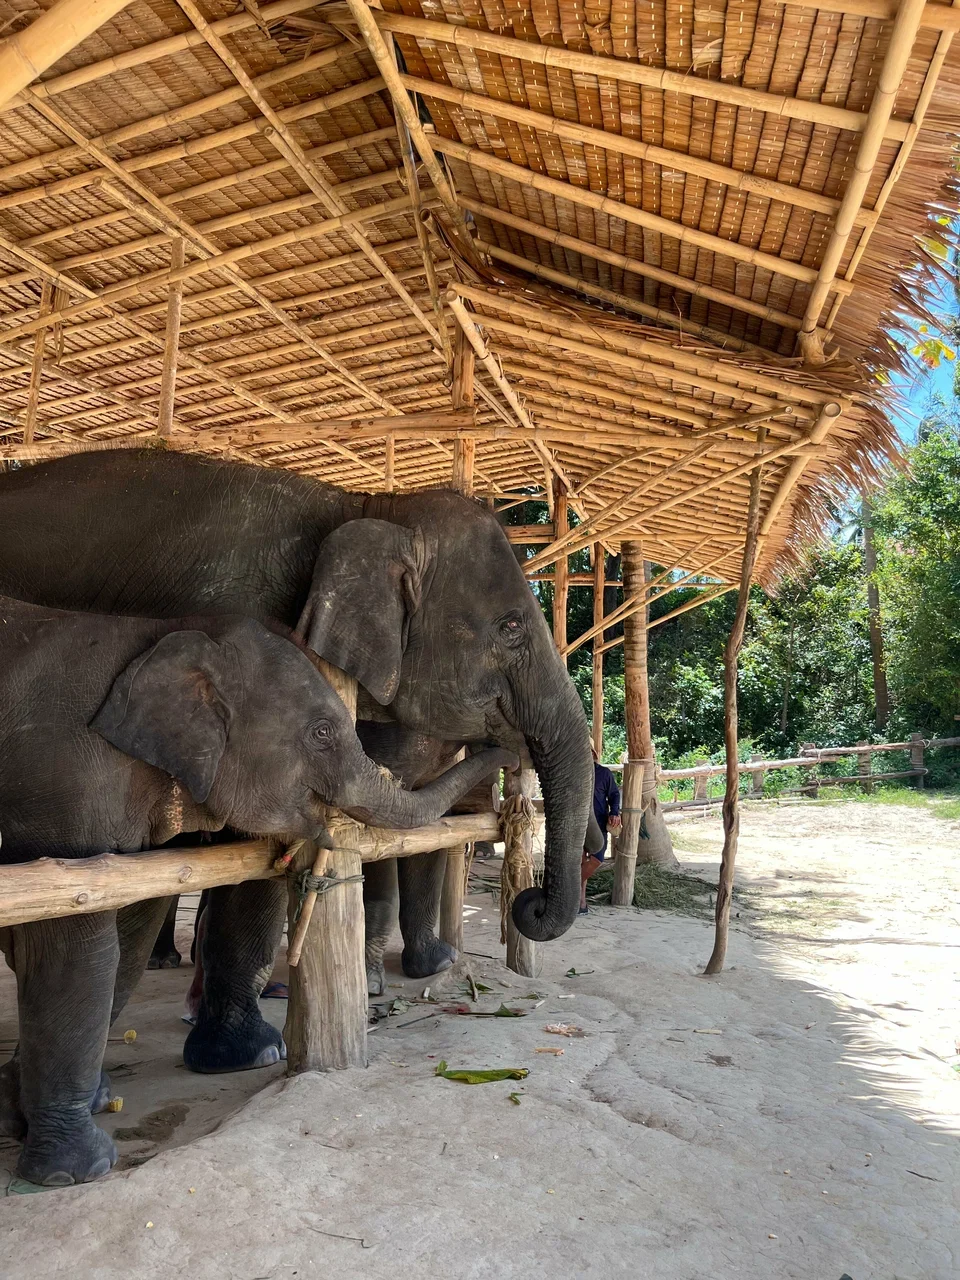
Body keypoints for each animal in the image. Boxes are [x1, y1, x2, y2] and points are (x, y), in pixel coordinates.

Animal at [0, 595, 514, 1186]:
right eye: (322, 733)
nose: (507, 745)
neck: (162, 632)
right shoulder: (62, 779)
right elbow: (76, 939)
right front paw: (78, 1168)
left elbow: (131, 915)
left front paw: (30, 1108)